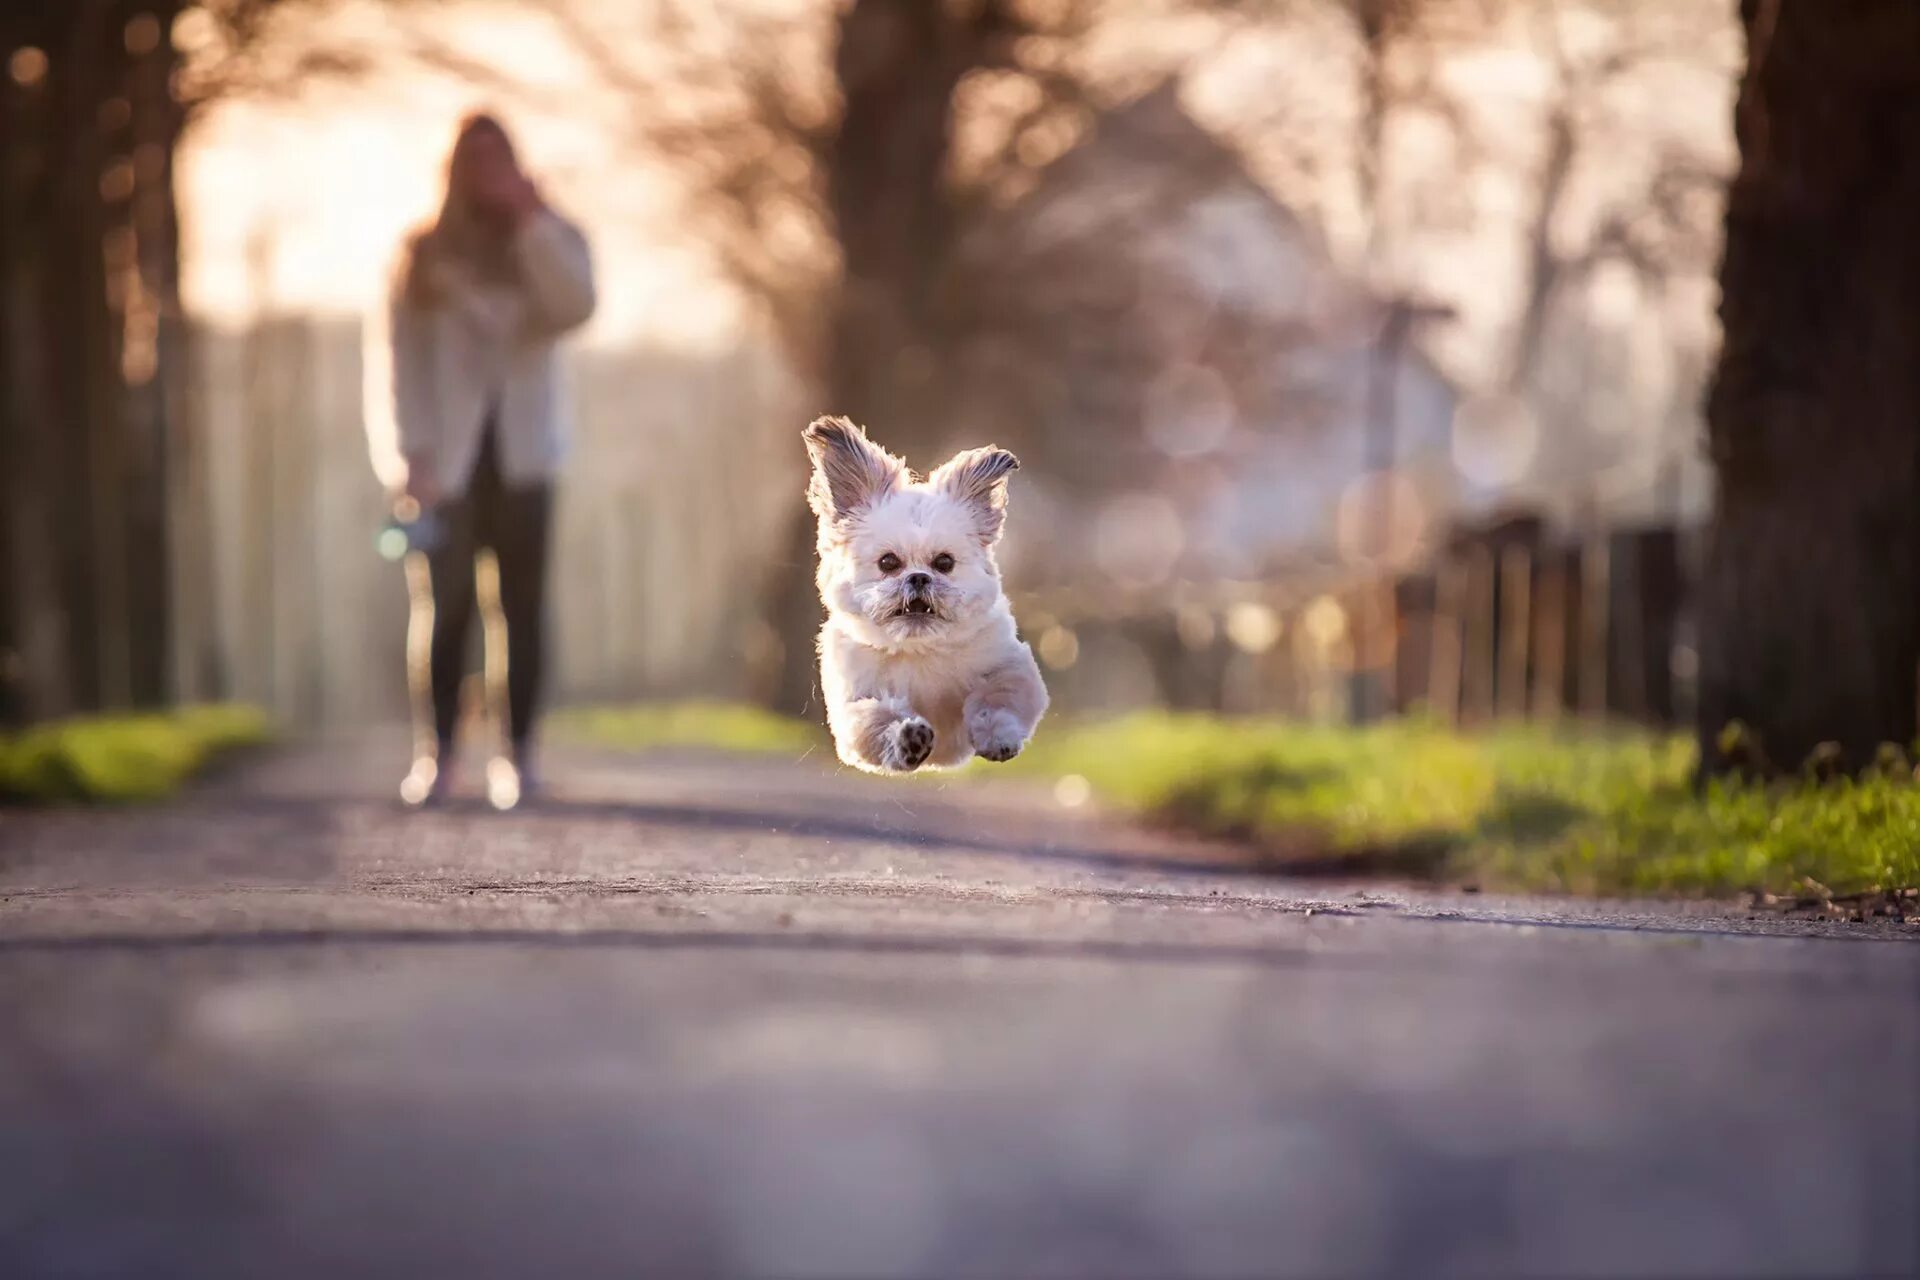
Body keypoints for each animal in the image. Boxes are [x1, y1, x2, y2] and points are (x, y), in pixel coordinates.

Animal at [806, 418, 1059, 771]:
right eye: (888, 562)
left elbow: (997, 699)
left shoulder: (1008, 665)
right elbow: (877, 720)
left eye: (944, 562)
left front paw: (998, 737)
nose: (918, 577)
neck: (919, 648)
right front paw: (907, 739)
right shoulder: (855, 704)